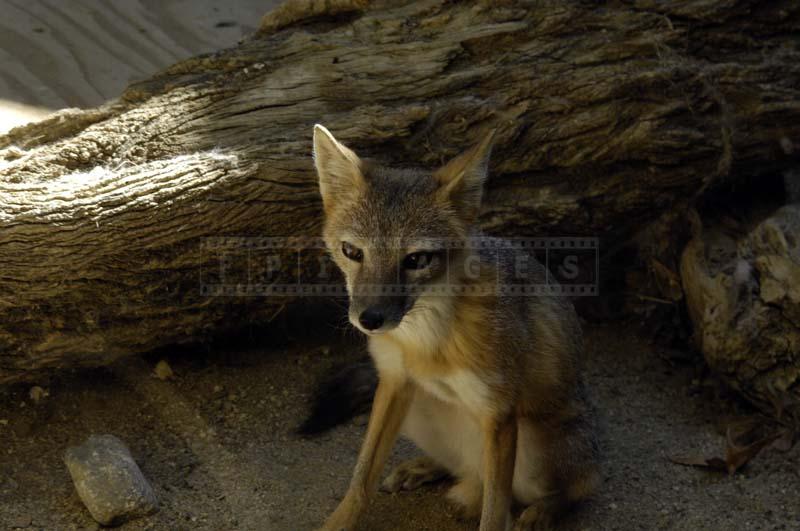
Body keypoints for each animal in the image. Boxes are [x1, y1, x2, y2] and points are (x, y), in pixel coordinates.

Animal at [310, 125, 596, 531]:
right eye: (352, 252)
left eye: (416, 260)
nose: (369, 319)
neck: (426, 341)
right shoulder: (394, 380)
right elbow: (362, 477)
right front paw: (338, 522)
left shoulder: (499, 413)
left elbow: (494, 513)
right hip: (416, 408)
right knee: (464, 468)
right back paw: (425, 467)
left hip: (536, 452)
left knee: (578, 486)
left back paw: (541, 512)